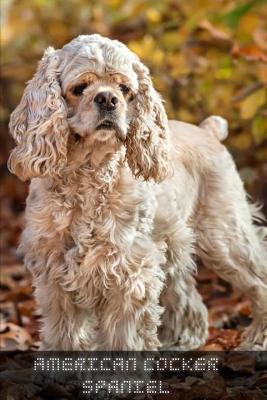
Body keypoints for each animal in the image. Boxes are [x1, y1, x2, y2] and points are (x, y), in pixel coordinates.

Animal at [8, 34, 267, 350]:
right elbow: (64, 334)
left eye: (125, 89)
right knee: (189, 298)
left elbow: (126, 336)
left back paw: (255, 339)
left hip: (224, 237)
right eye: (79, 88)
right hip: (175, 246)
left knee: (259, 282)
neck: (90, 171)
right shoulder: (55, 271)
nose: (108, 99)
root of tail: (208, 131)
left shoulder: (129, 270)